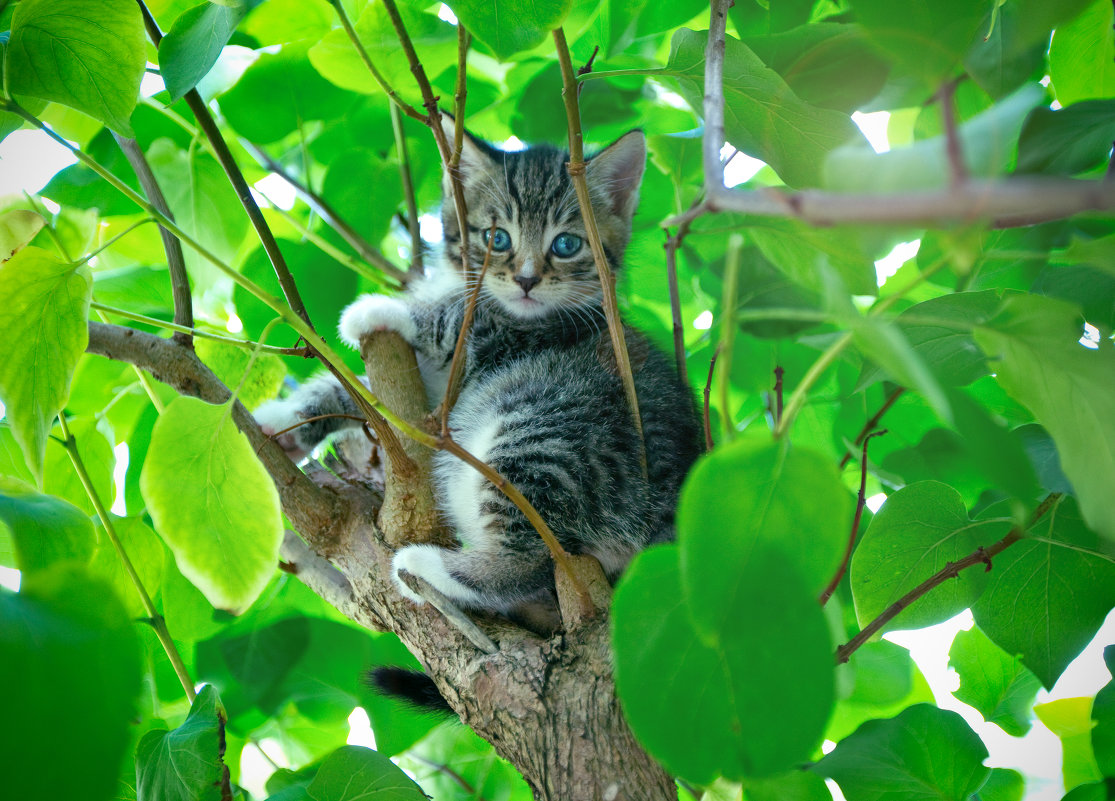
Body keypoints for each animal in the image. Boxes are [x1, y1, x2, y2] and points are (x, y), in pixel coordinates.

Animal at [256, 119, 700, 620]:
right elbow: (358, 391)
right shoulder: (436, 390)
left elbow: (460, 319)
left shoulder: (524, 334)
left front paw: (383, 308)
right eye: (496, 239)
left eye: (567, 244)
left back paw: (427, 568)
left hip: (549, 432)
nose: (526, 280)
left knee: (536, 556)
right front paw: (285, 423)